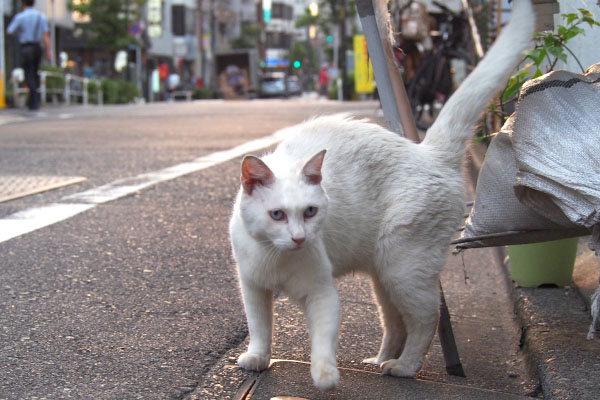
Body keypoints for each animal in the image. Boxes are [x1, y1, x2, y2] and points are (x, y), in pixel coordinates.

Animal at [230, 0, 536, 390]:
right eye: (277, 215)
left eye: (310, 211)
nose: (299, 238)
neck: (276, 258)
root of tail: (427, 152)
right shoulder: (253, 288)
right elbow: (259, 328)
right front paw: (257, 359)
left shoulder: (321, 292)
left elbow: (322, 339)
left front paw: (325, 377)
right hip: (383, 277)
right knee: (395, 322)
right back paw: (380, 359)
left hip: (402, 268)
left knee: (426, 317)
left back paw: (403, 367)